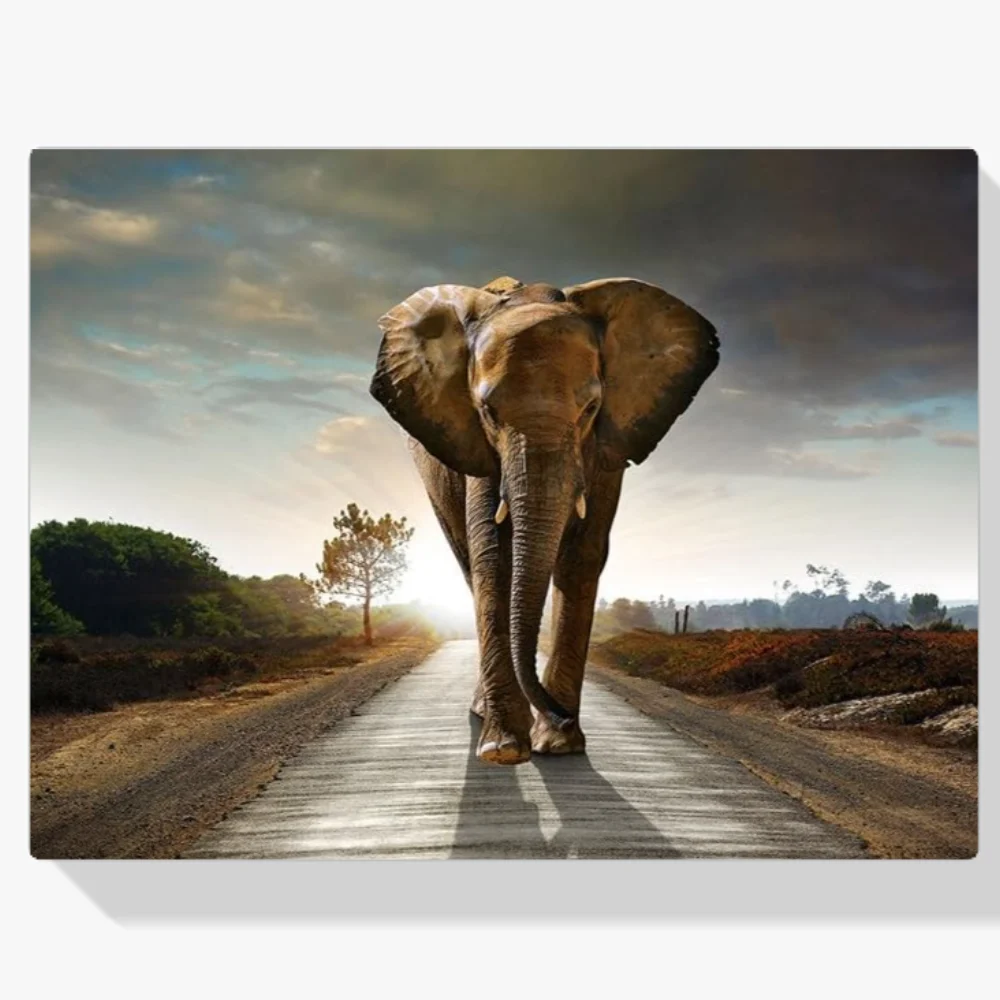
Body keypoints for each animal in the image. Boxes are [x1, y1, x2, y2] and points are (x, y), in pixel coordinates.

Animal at [369, 275, 719, 765]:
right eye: (487, 412)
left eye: (591, 408)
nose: (560, 715)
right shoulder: (477, 448)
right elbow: (494, 556)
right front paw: (504, 750)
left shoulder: (607, 448)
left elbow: (582, 556)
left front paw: (559, 745)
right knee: (469, 565)